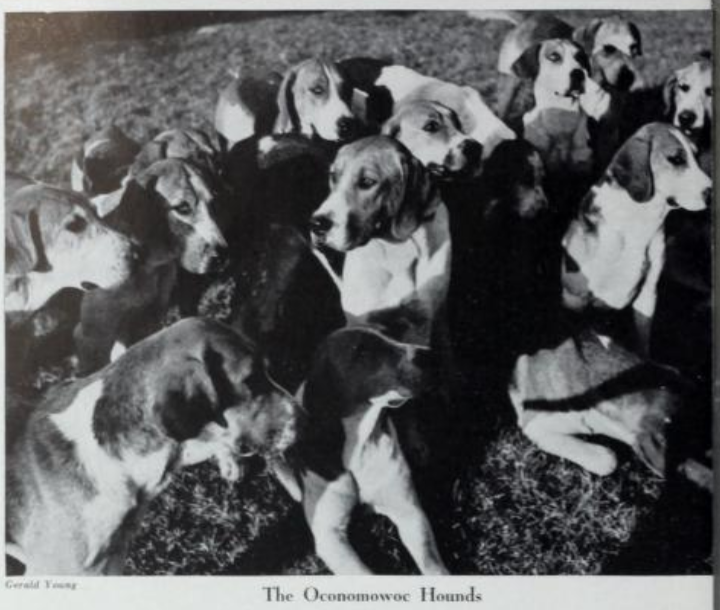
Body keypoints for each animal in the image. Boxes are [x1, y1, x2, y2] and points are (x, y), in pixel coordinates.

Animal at [74, 158, 228, 374]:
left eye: (214, 203)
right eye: (182, 208)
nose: (221, 255)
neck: (145, 266)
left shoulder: (148, 321)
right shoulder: (92, 340)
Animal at [273, 327, 449, 574]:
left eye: (388, 335)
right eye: (362, 352)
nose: (431, 354)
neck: (358, 442)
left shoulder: (409, 511)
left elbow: (432, 564)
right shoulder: (329, 534)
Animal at [561, 123, 711, 356]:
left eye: (696, 156)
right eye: (676, 159)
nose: (711, 192)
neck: (639, 221)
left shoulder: (647, 297)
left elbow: (643, 344)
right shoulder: (577, 298)